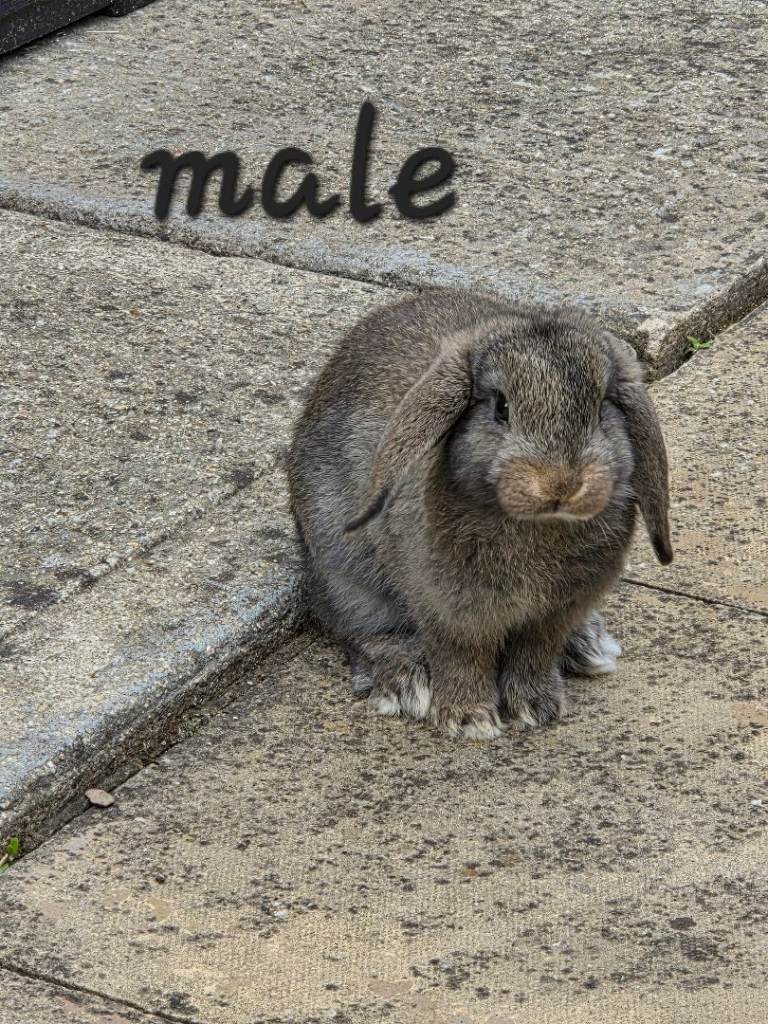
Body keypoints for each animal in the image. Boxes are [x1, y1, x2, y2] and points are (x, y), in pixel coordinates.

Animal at [287, 289, 672, 740]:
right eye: (501, 407)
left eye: (600, 409)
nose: (560, 484)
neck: (535, 525)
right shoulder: (448, 609)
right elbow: (461, 657)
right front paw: (469, 720)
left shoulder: (552, 616)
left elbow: (533, 653)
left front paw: (537, 708)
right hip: (345, 572)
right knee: (366, 632)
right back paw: (405, 684)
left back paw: (587, 647)